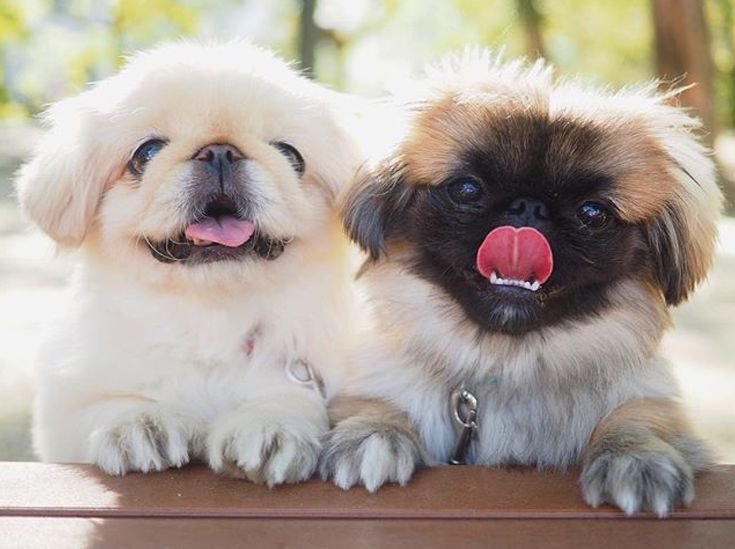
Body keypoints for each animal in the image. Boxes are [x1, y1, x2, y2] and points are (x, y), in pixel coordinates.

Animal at [16, 40, 362, 482]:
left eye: (290, 156)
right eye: (146, 153)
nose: (220, 150)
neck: (210, 319)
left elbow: (286, 401)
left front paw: (268, 424)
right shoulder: (63, 412)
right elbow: (105, 406)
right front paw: (141, 422)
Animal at [322, 53, 724, 516]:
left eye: (592, 213)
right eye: (467, 189)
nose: (529, 207)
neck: (508, 366)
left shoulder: (655, 407)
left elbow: (641, 416)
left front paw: (636, 457)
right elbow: (378, 403)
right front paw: (373, 432)